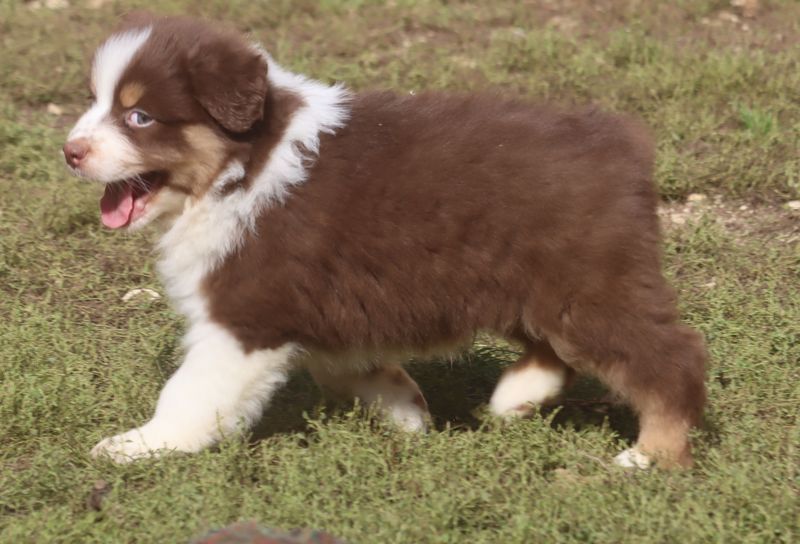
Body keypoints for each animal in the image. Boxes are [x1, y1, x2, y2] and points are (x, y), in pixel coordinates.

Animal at [63, 14, 706, 468]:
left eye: (140, 117)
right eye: (94, 101)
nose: (70, 152)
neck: (240, 166)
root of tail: (622, 144)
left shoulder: (244, 314)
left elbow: (191, 391)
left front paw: (140, 445)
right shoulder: (319, 305)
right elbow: (344, 367)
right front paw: (406, 411)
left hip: (587, 283)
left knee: (670, 357)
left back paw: (652, 455)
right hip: (528, 280)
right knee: (554, 348)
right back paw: (515, 397)